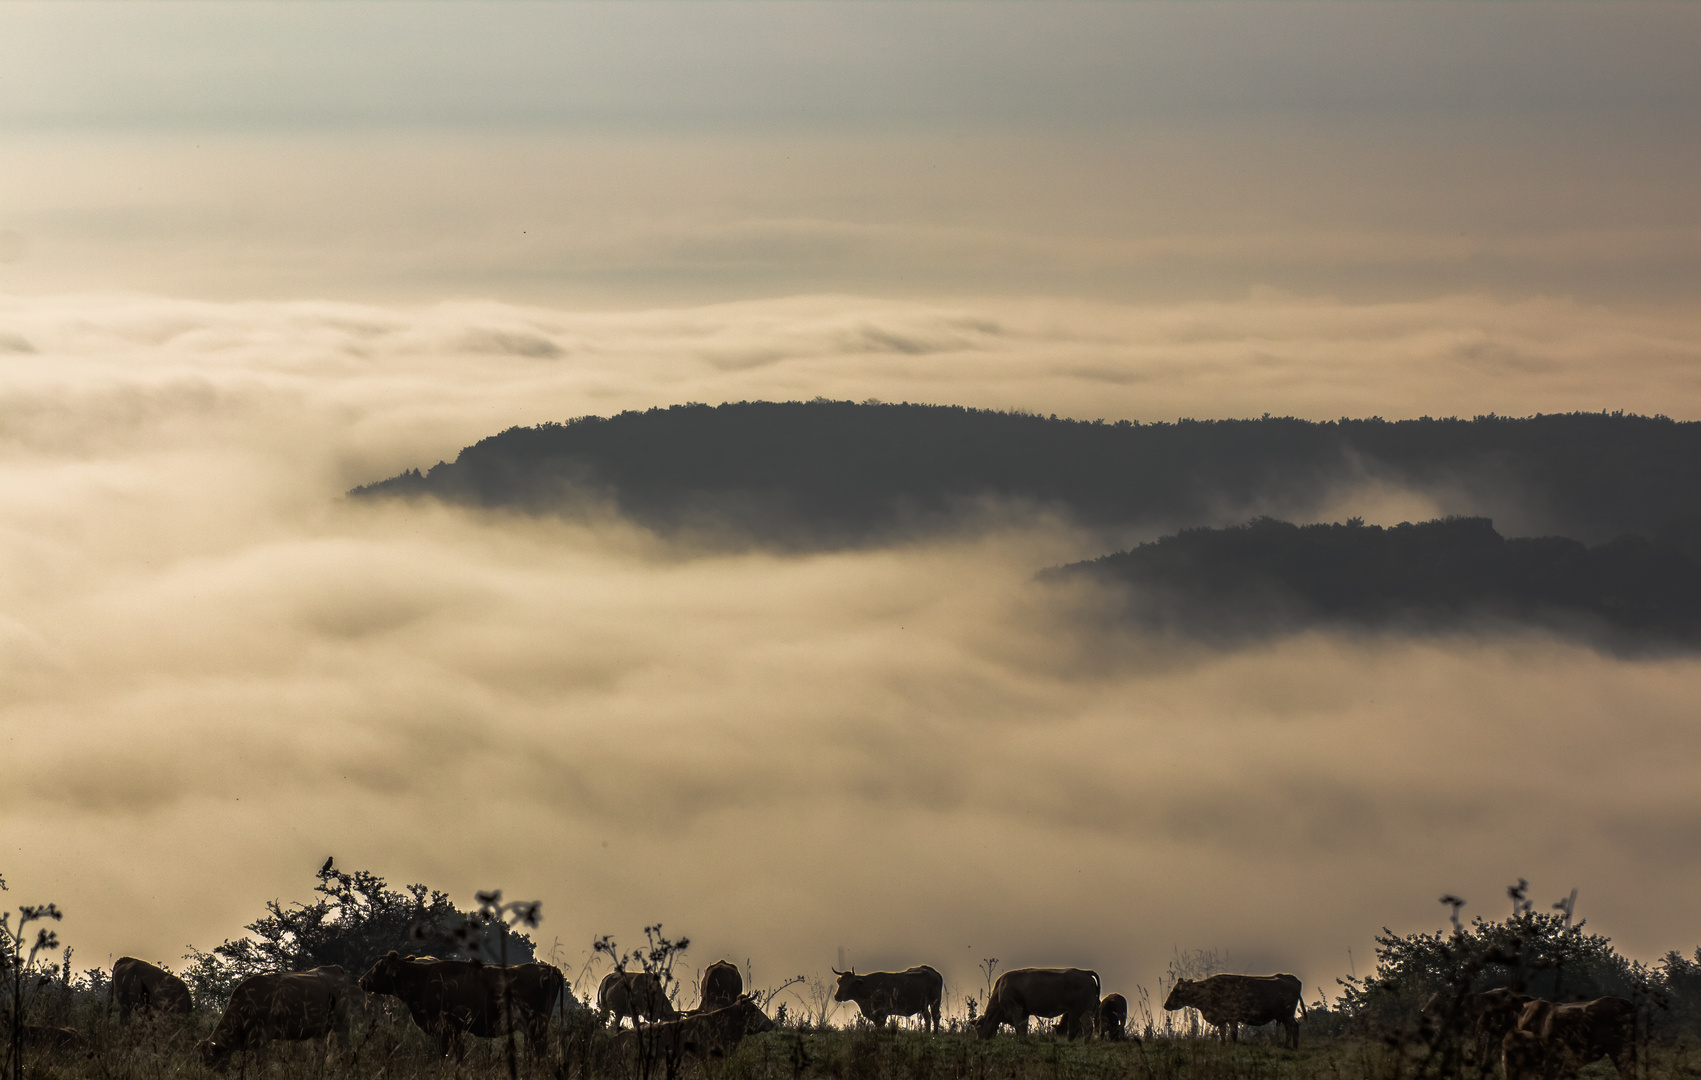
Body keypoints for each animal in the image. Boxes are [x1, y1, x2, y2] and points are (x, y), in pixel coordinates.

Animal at [199, 966, 365, 1068]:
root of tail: (335, 968)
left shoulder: (260, 1040)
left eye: (211, 1061)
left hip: (341, 1024)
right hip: (321, 1031)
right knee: (320, 1054)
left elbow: (262, 1066)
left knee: (344, 1051)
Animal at [972, 972, 1102, 1040]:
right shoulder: (1024, 1012)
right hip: (1074, 1012)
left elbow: (1020, 1029)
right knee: (1074, 1029)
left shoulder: (1016, 1009)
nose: (979, 1040)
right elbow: (1022, 1029)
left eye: (978, 1027)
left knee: (1087, 1027)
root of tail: (1085, 972)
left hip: (1082, 1010)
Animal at [1163, 972, 1306, 1047]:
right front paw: (1223, 1045)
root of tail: (1290, 977)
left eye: (1176, 991)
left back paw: (1294, 1046)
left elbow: (1233, 1034)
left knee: (1295, 1026)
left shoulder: (1232, 1018)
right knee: (1289, 1028)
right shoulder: (1222, 1019)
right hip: (1284, 1016)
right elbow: (1222, 1034)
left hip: (1287, 1014)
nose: (1165, 1005)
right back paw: (1288, 1046)